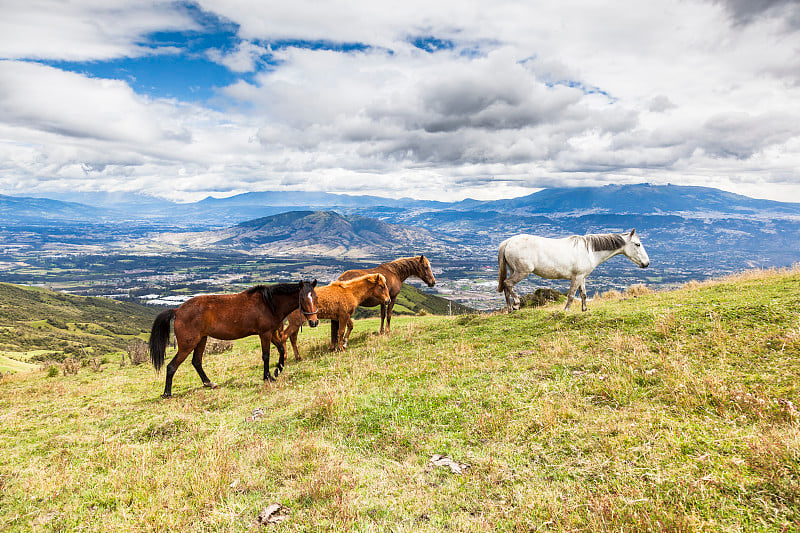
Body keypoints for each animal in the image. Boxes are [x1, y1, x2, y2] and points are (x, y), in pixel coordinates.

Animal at [148, 280, 318, 396]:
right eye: (302, 299)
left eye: (315, 297)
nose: (314, 322)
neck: (269, 303)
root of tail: (177, 310)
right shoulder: (264, 334)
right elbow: (266, 356)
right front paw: (267, 376)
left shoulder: (271, 333)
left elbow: (281, 349)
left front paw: (277, 371)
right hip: (187, 345)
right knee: (171, 366)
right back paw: (167, 393)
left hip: (201, 340)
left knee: (196, 362)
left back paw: (209, 383)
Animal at [500, 229, 648, 312]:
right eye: (637, 244)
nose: (646, 263)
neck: (589, 251)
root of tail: (507, 242)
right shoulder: (576, 277)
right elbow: (571, 295)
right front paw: (566, 310)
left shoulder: (582, 277)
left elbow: (584, 294)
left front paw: (584, 309)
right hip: (522, 272)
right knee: (508, 284)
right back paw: (516, 305)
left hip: (513, 270)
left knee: (506, 285)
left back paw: (510, 309)